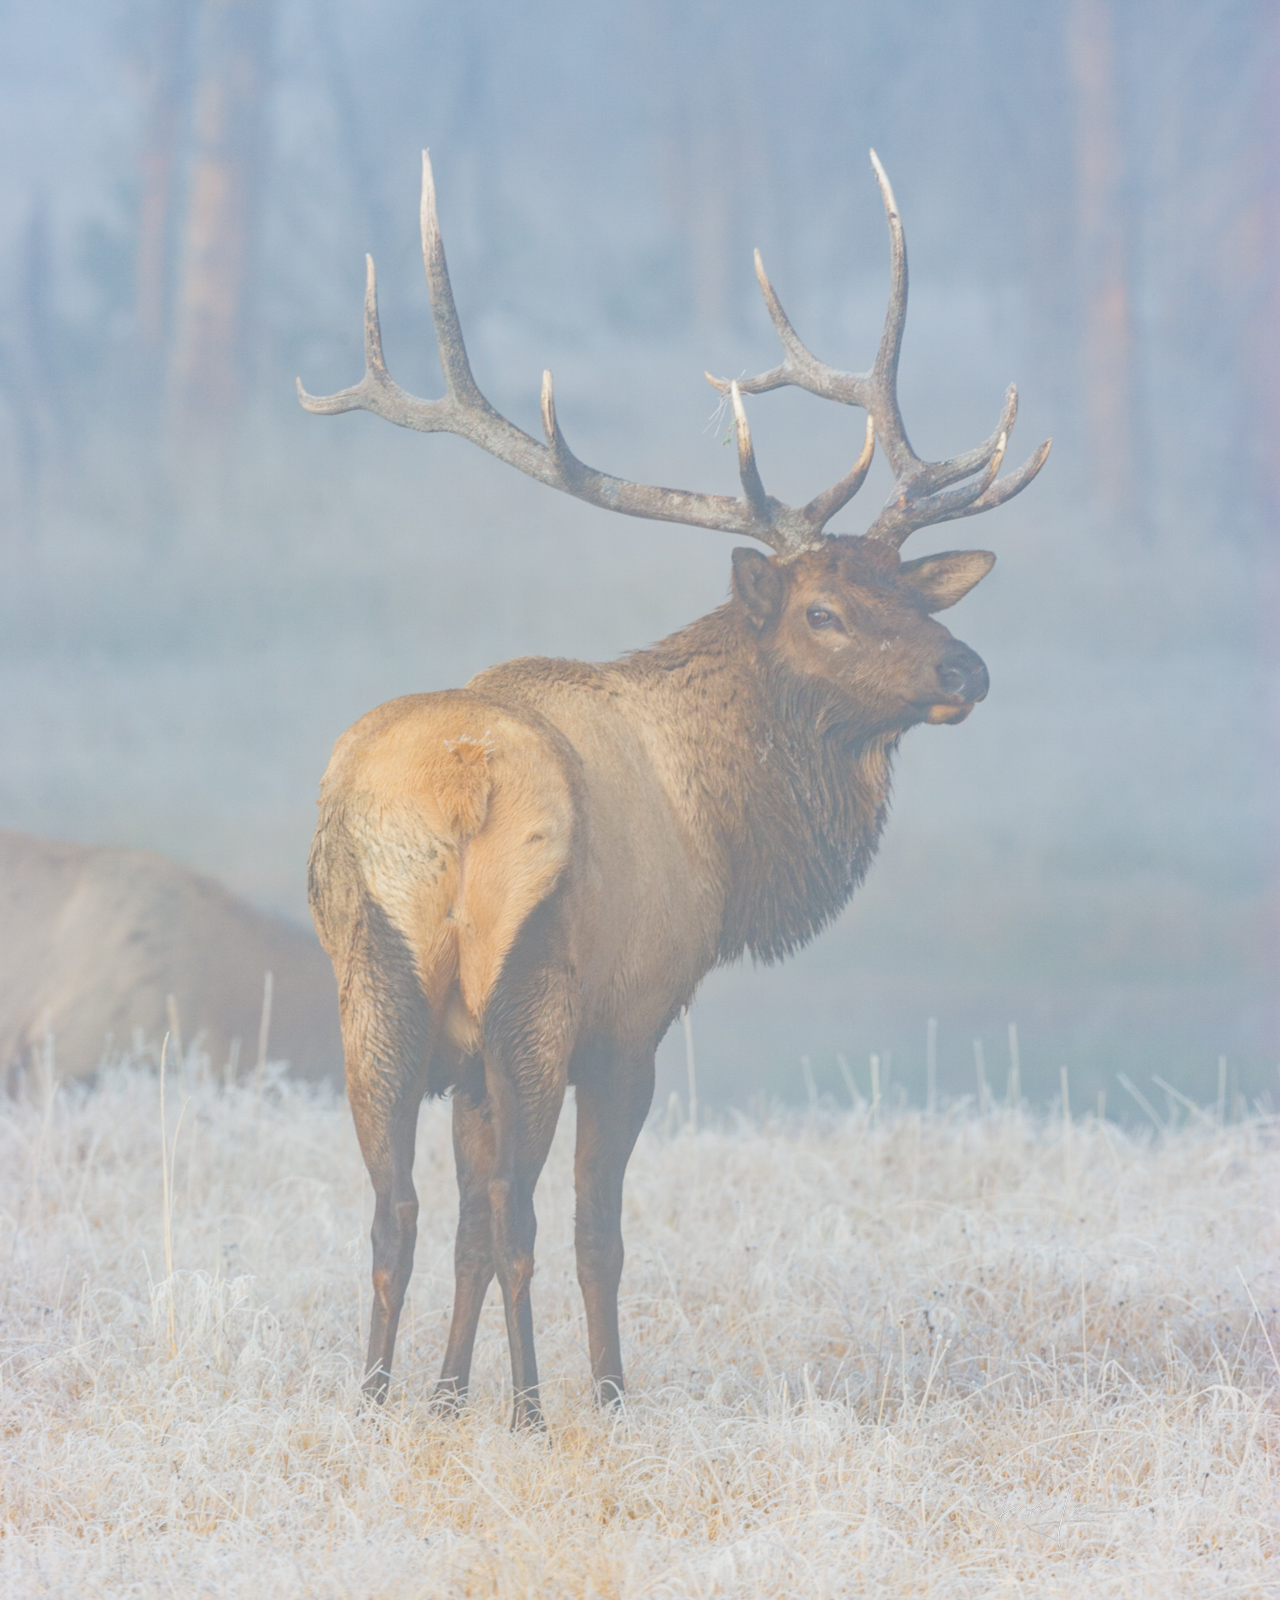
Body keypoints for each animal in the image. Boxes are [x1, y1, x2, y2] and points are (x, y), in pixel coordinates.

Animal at [300, 150, 1049, 1427]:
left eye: (913, 591)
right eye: (822, 611)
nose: (967, 670)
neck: (727, 835)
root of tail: (452, 803)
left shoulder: (462, 1049)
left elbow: (455, 1226)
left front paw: (442, 1399)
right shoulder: (636, 1014)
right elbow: (594, 1228)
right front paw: (604, 1394)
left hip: (375, 989)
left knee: (398, 1212)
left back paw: (372, 1398)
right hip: (535, 989)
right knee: (526, 1216)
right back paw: (536, 1408)